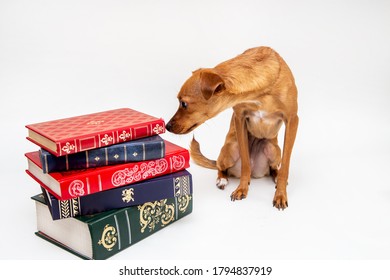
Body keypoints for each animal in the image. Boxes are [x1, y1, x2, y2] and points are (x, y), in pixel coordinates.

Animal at [165, 46, 298, 209]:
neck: (260, 95)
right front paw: (242, 189)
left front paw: (280, 194)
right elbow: (245, 164)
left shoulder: (292, 121)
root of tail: (257, 173)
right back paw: (222, 179)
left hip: (274, 149)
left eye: (183, 103)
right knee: (221, 167)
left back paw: (276, 177)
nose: (167, 126)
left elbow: (285, 166)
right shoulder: (239, 119)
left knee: (275, 168)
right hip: (231, 149)